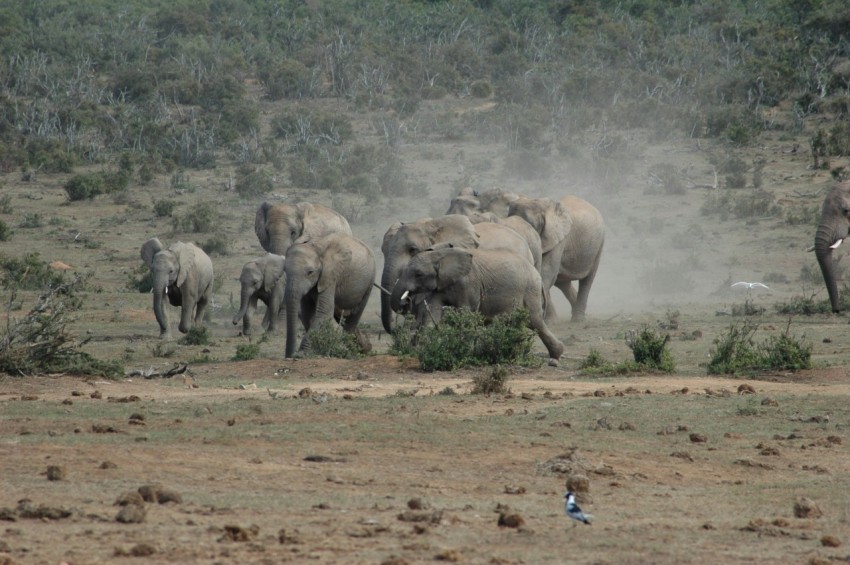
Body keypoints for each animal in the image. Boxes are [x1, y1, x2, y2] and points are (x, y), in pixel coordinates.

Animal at [390, 246, 565, 361]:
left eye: (418, 274)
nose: (406, 300)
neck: (440, 255)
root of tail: (537, 274)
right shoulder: (439, 286)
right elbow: (433, 313)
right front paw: (421, 350)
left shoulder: (468, 284)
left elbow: (466, 313)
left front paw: (464, 353)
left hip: (530, 290)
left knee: (535, 321)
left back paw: (555, 357)